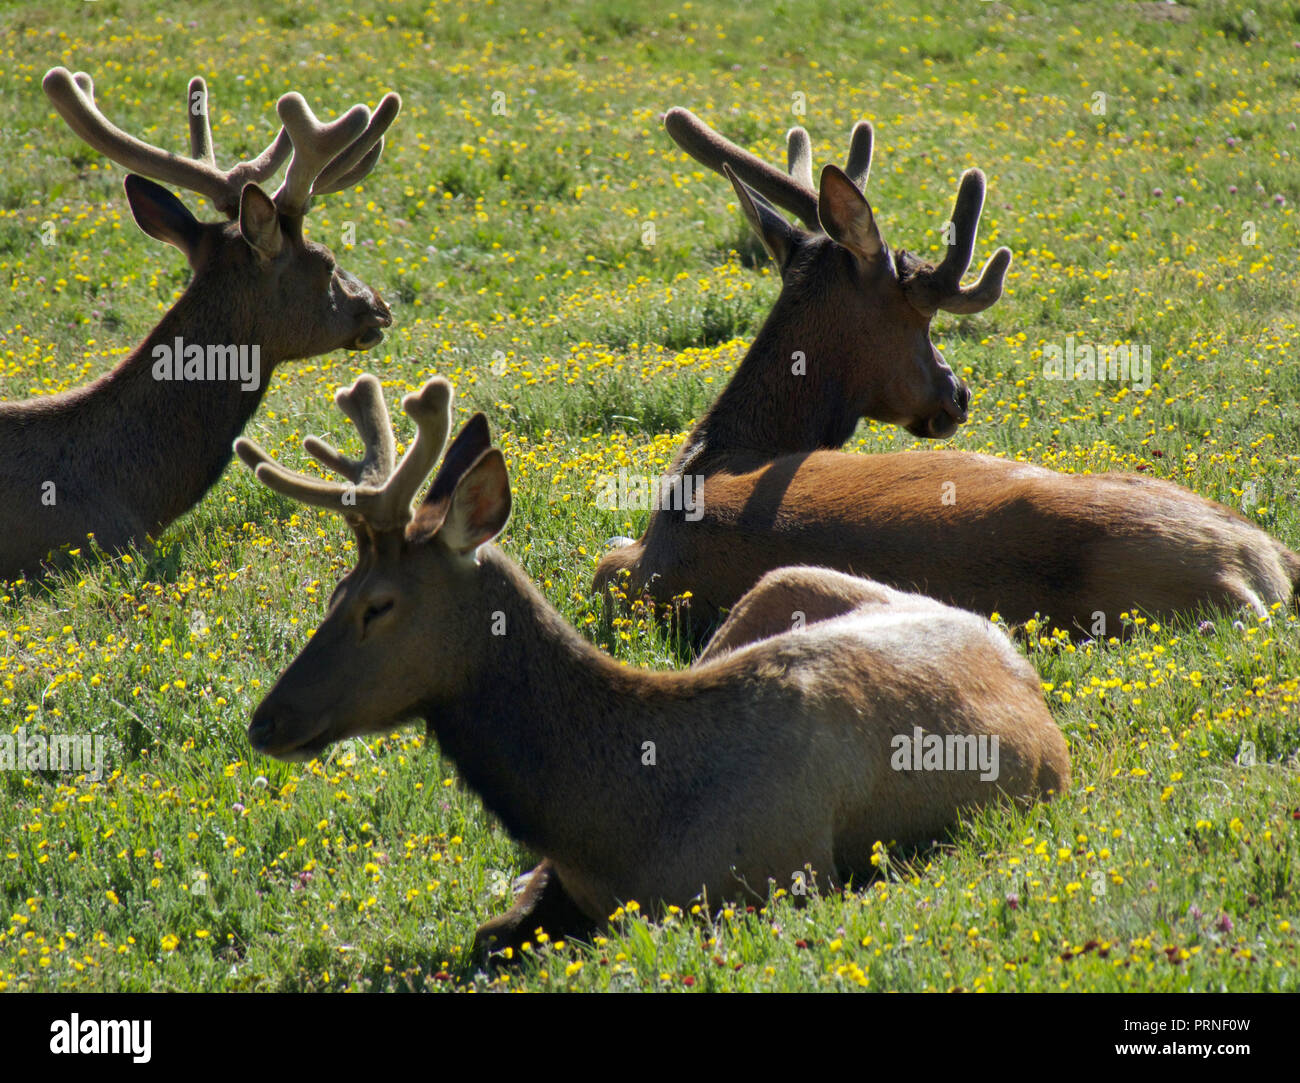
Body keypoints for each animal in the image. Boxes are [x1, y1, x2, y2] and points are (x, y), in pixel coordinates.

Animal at [233, 377, 1066, 951]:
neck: (617, 823)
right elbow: (491, 929)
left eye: (376, 604)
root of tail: (1007, 648)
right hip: (773, 590)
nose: (266, 720)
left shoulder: (791, 875)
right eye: (334, 590)